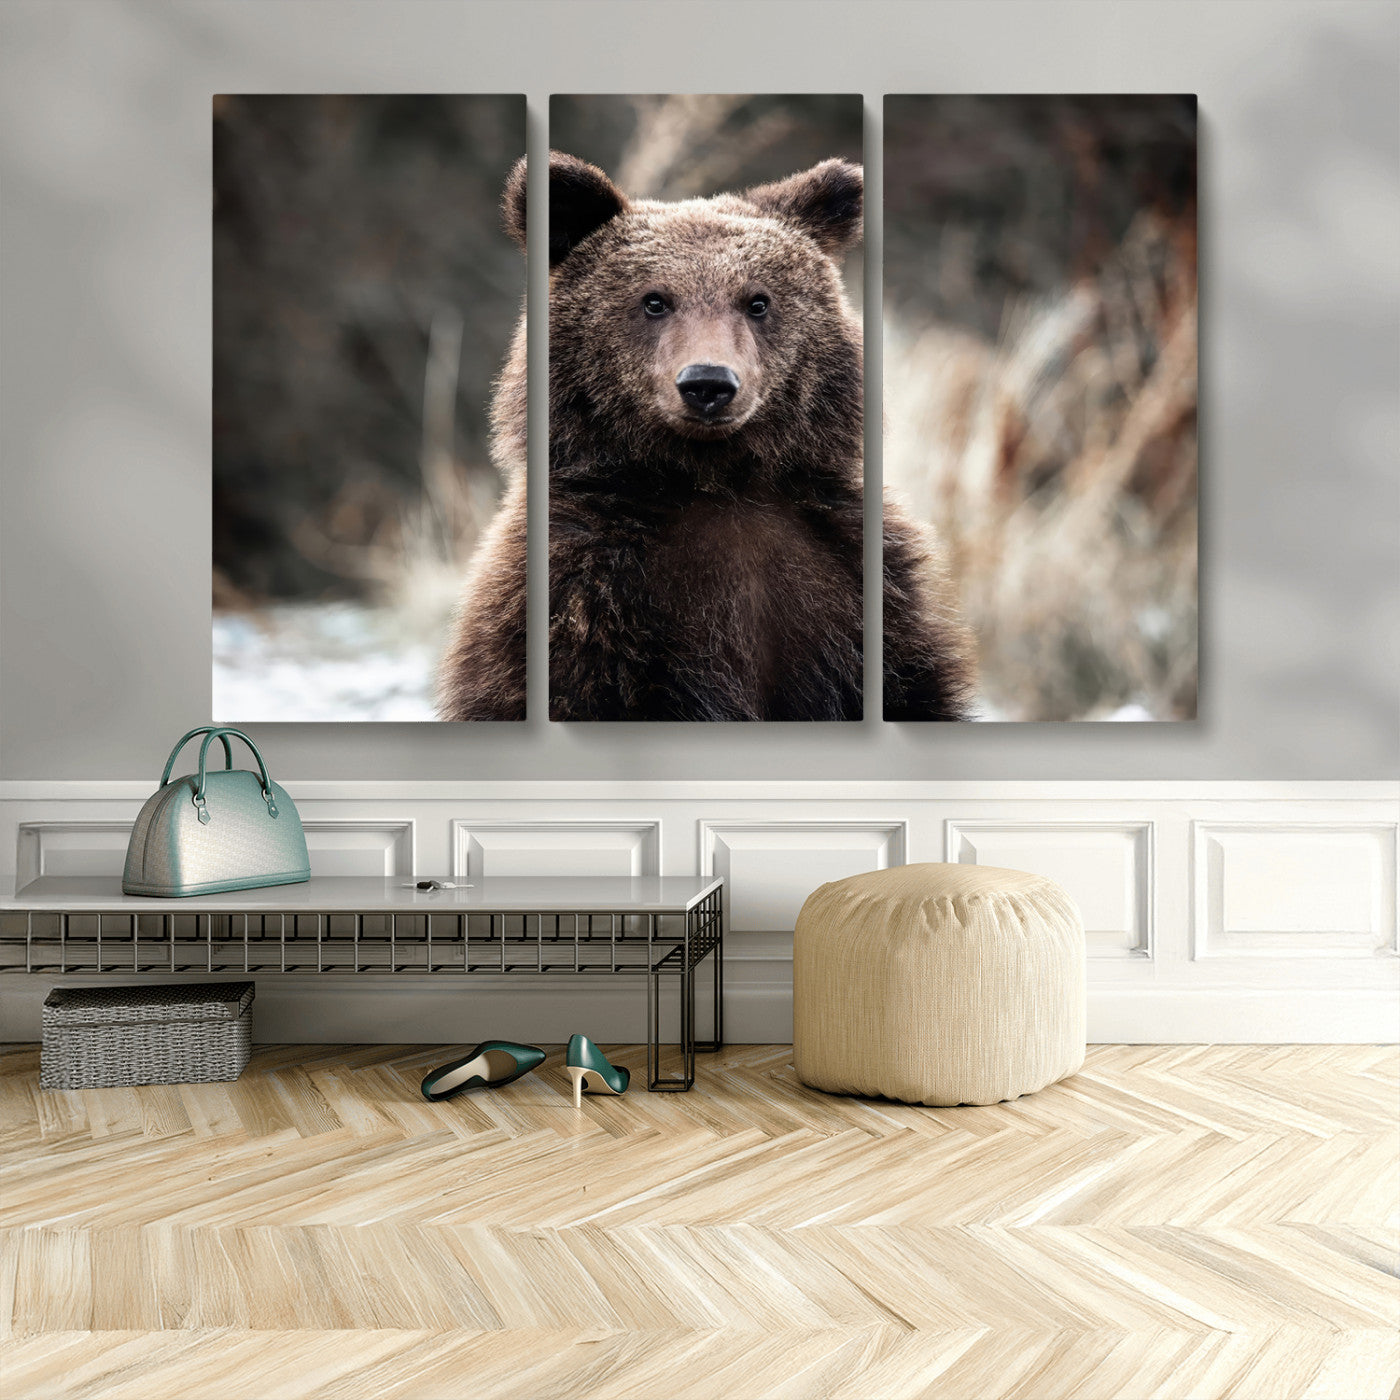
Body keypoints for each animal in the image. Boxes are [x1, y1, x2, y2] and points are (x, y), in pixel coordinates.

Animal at [437, 151, 974, 722]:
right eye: (654, 300)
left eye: (757, 301)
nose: (708, 383)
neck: (715, 480)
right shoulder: (583, 598)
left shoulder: (856, 587)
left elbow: (910, 687)